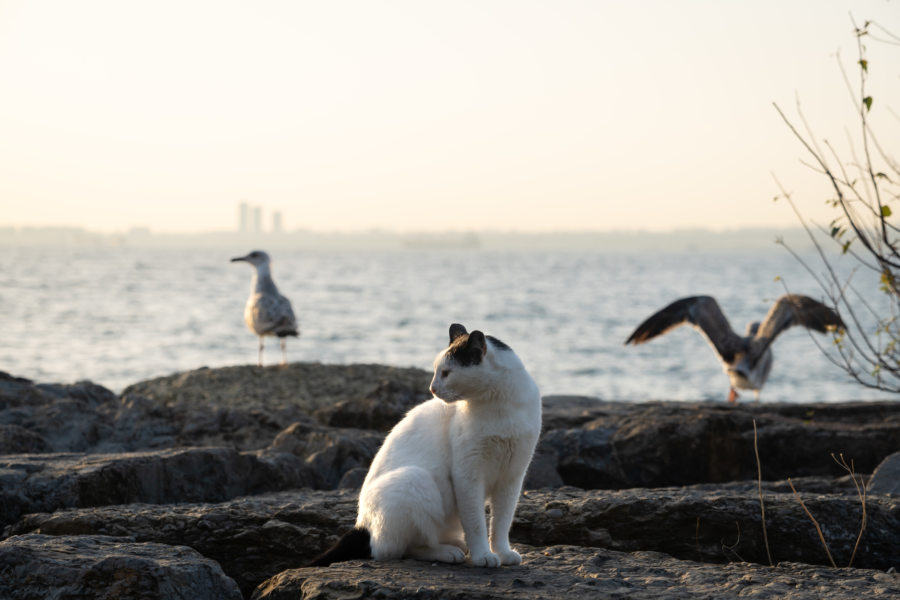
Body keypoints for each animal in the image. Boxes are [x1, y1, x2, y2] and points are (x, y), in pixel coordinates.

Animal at [310, 324, 540, 568]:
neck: (499, 406)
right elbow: (476, 523)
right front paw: (482, 556)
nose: (432, 389)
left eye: (446, 373)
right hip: (415, 479)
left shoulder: (512, 477)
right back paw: (446, 552)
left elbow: (501, 522)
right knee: (398, 549)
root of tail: (362, 523)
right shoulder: (467, 475)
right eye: (436, 371)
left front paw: (502, 552)